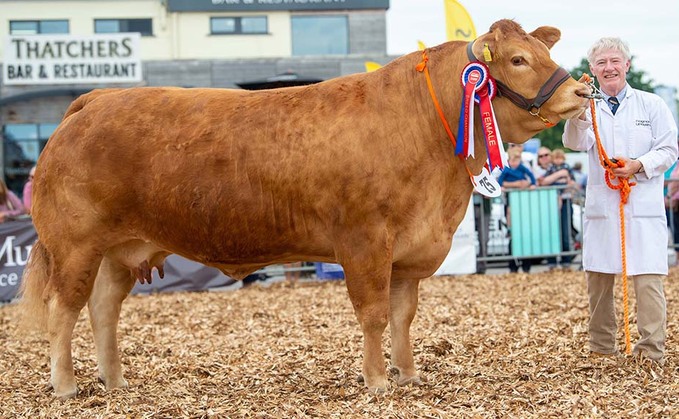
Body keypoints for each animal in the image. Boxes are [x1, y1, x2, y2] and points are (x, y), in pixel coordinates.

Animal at [18, 20, 592, 400]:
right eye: (517, 60)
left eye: (541, 50)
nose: (580, 89)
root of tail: (95, 99)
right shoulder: (364, 241)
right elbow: (374, 314)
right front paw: (377, 381)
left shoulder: (410, 250)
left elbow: (403, 315)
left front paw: (408, 374)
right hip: (74, 245)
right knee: (64, 310)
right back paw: (66, 386)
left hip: (119, 250)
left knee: (103, 309)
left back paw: (114, 381)